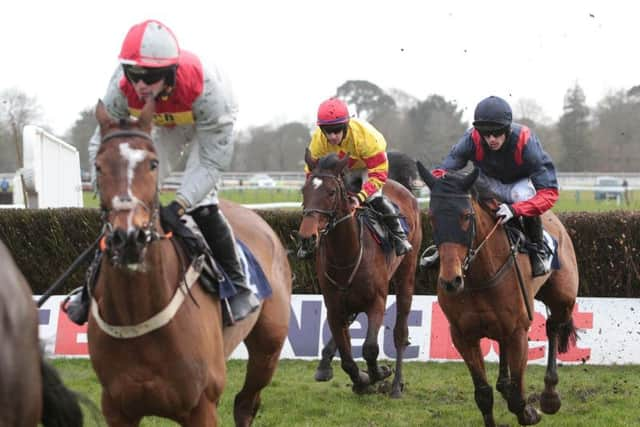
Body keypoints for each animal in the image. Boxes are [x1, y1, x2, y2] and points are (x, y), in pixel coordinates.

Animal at [87, 98, 292, 426]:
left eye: (153, 164)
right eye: (98, 165)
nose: (128, 238)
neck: (138, 311)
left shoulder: (202, 407)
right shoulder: (117, 409)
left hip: (268, 347)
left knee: (245, 402)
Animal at [298, 150, 422, 398]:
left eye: (331, 192)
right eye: (304, 190)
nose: (307, 237)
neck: (346, 255)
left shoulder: (377, 302)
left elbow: (370, 349)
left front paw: (379, 373)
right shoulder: (334, 306)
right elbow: (347, 359)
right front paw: (362, 380)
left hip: (406, 274)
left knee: (400, 333)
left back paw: (396, 385)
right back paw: (326, 364)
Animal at [418, 162, 584, 426]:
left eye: (466, 216)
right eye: (433, 217)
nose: (451, 281)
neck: (479, 277)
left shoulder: (518, 332)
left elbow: (518, 398)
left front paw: (530, 411)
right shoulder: (463, 336)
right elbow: (483, 395)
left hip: (563, 298)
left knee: (553, 326)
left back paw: (550, 396)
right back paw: (505, 384)